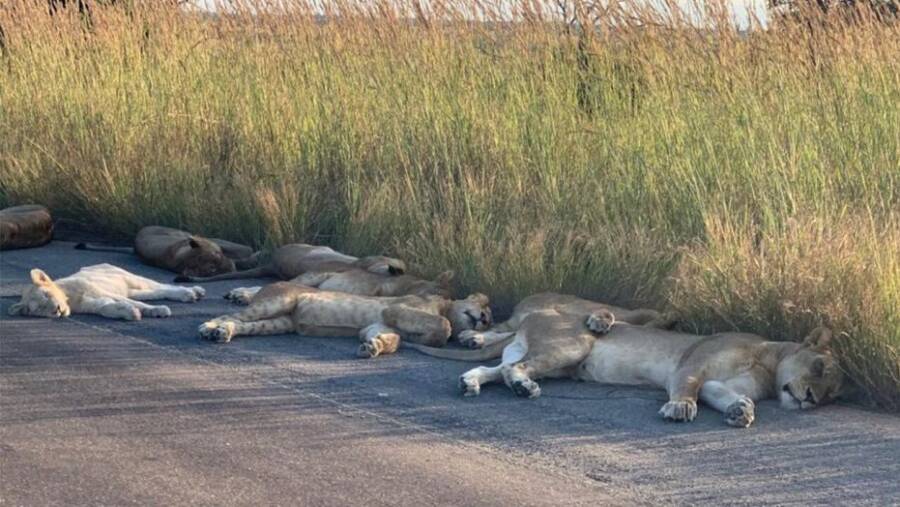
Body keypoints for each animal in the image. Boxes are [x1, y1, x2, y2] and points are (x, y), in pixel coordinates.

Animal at [8, 264, 206, 320]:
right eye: (40, 309)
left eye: (47, 295)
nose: (57, 310)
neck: (70, 299)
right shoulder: (94, 304)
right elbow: (107, 308)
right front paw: (130, 313)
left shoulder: (100, 291)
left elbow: (139, 304)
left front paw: (157, 310)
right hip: (132, 290)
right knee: (156, 292)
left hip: (131, 278)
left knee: (162, 286)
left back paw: (192, 292)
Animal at [197, 282, 492, 362]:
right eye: (484, 308)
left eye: (489, 322)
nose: (484, 318)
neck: (445, 304)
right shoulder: (395, 308)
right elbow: (444, 325)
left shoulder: (375, 325)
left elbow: (393, 339)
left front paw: (373, 347)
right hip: (278, 301)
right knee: (232, 315)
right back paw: (209, 328)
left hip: (279, 323)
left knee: (243, 325)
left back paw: (223, 333)